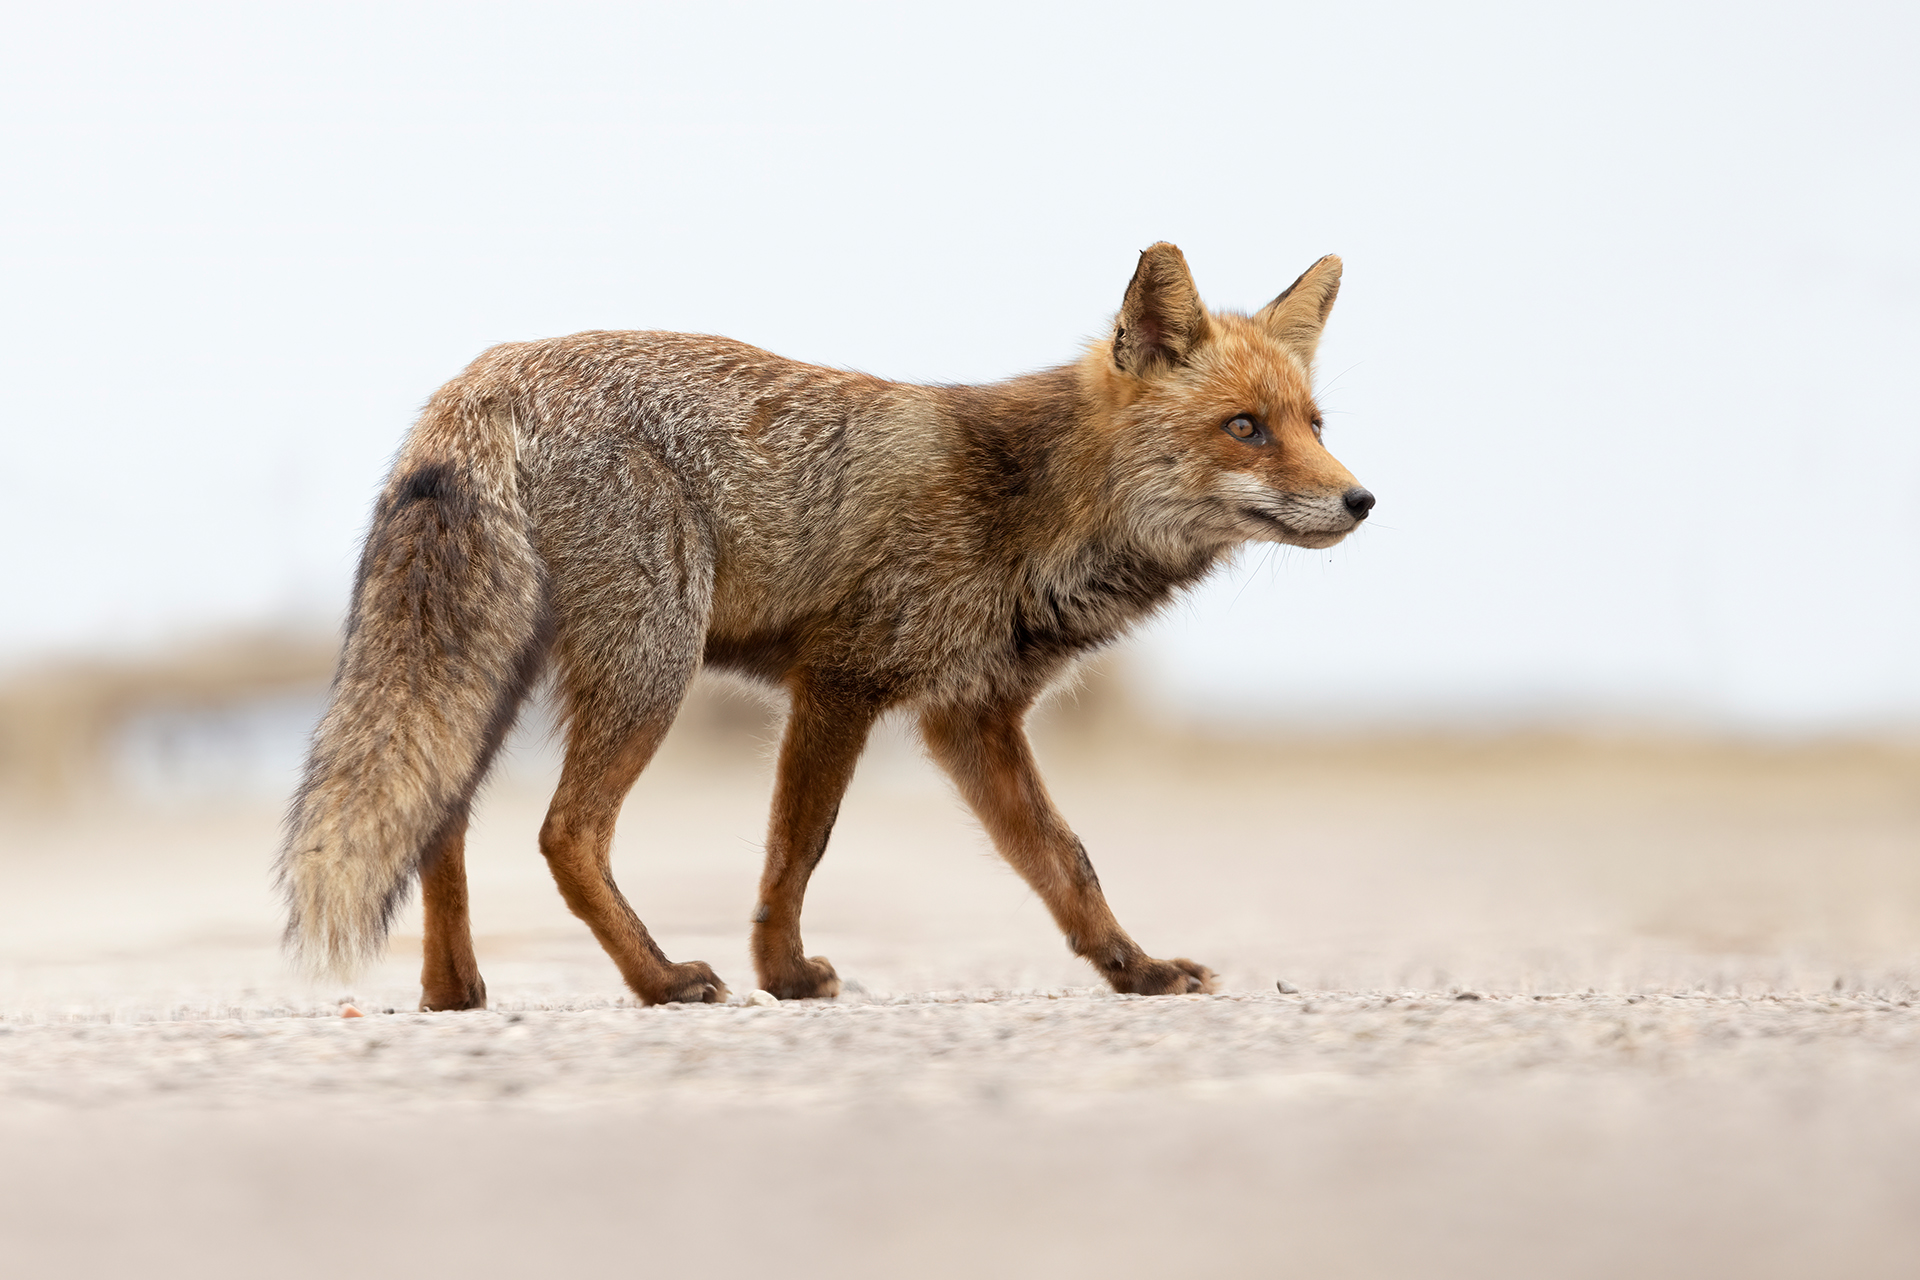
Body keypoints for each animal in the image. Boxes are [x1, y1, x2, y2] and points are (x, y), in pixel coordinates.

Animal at [277, 243, 1372, 1009]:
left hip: (506, 668)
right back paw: (660, 981)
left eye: (1315, 425)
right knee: (564, 833)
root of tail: (479, 378)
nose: (1362, 500)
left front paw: (1132, 970)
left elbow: (1064, 862)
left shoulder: (970, 714)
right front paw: (786, 973)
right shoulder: (843, 678)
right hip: (651, 664)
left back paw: (451, 990)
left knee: (441, 819)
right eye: (1244, 428)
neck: (1027, 501)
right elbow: (797, 849)